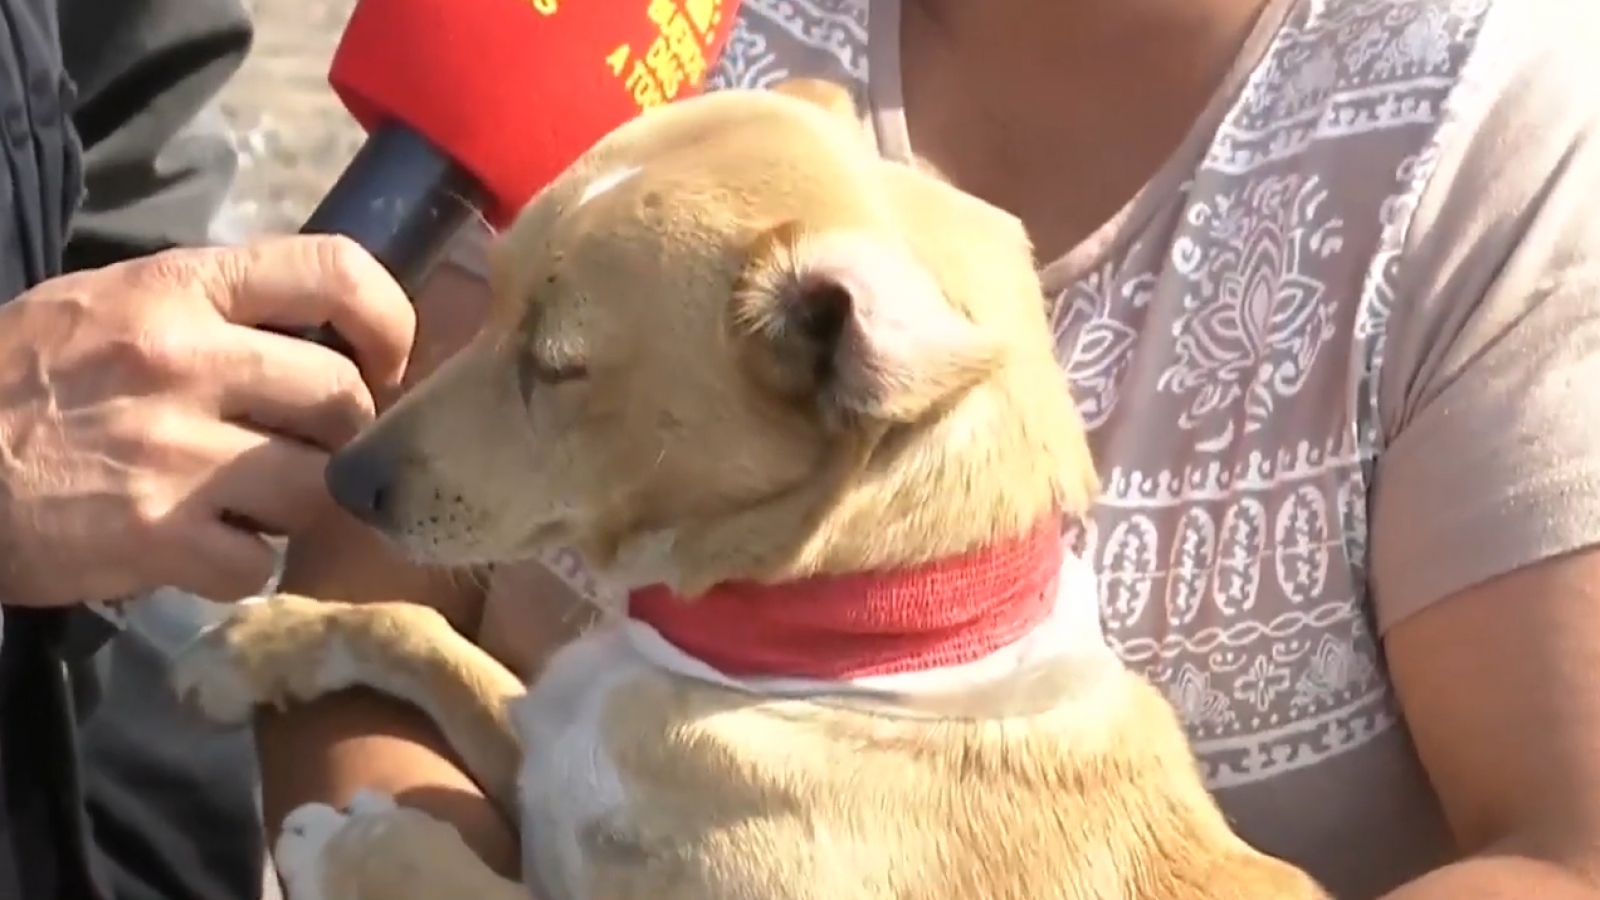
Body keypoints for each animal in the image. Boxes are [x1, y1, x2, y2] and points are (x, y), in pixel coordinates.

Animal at [168, 78, 1331, 896]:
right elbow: (422, 634)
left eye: (556, 364)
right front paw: (265, 640)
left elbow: (454, 877)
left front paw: (357, 848)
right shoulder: (543, 751)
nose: (342, 477)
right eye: (488, 300)